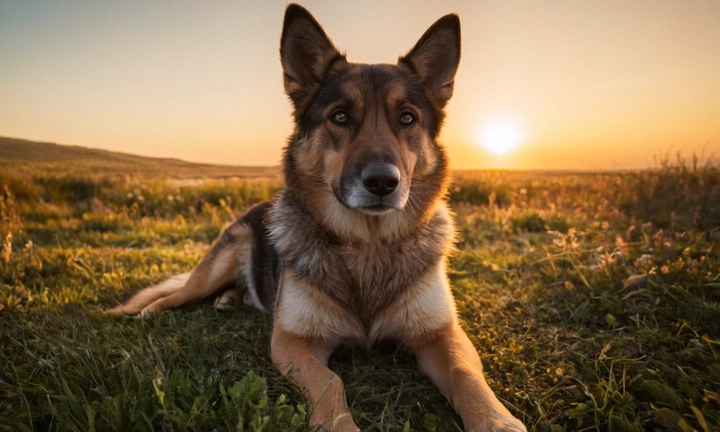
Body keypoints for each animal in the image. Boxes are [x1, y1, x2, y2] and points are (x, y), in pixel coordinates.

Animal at [109, 4, 532, 432]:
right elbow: (331, 383)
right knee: (175, 294)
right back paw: (143, 310)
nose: (382, 182)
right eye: (340, 117)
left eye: (407, 118)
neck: (368, 246)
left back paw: (231, 299)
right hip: (213, 270)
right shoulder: (292, 342)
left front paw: (497, 420)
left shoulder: (441, 334)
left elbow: (464, 373)